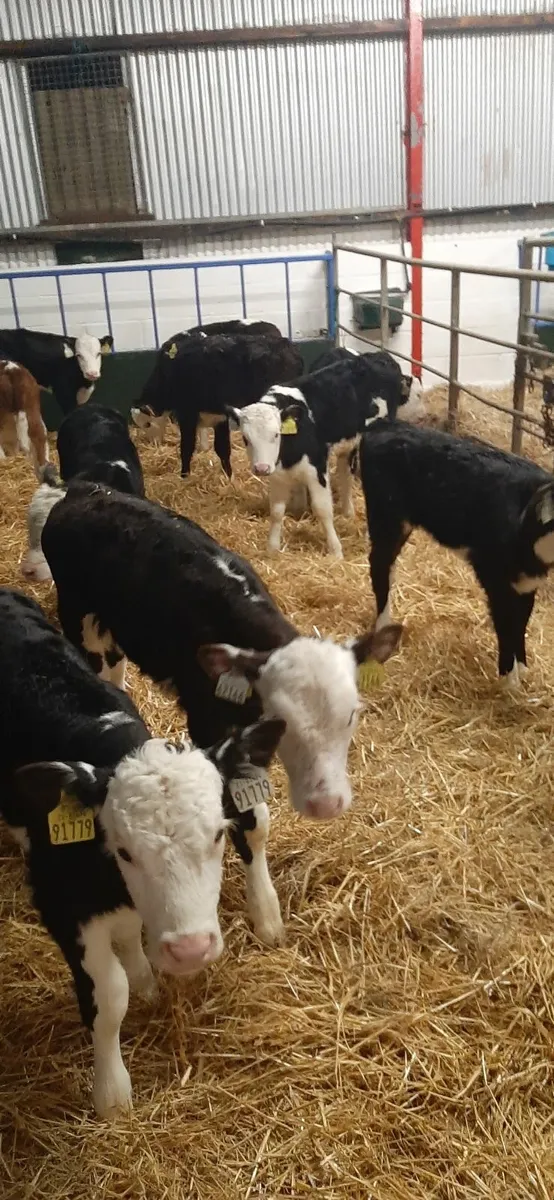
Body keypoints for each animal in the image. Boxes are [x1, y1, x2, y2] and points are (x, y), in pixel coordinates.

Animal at [0, 587, 284, 1116]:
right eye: (125, 851)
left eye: (219, 835)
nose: (190, 949)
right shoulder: (63, 906)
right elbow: (110, 996)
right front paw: (112, 1094)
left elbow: (131, 940)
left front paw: (146, 979)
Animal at [41, 483, 402, 944]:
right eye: (280, 721)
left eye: (352, 716)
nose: (326, 804)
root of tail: (84, 490)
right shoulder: (212, 724)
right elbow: (251, 819)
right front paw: (265, 913)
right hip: (78, 617)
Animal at [131, 330, 303, 478]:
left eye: (147, 425)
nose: (153, 445)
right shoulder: (220, 416)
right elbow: (222, 449)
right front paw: (229, 478)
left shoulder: (186, 413)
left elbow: (187, 447)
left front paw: (184, 477)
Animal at [359, 420, 554, 687]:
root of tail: (381, 425)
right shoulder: (493, 575)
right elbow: (505, 624)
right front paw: (510, 681)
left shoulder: (526, 582)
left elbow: (521, 622)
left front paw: (522, 669)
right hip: (387, 515)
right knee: (379, 565)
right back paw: (383, 624)